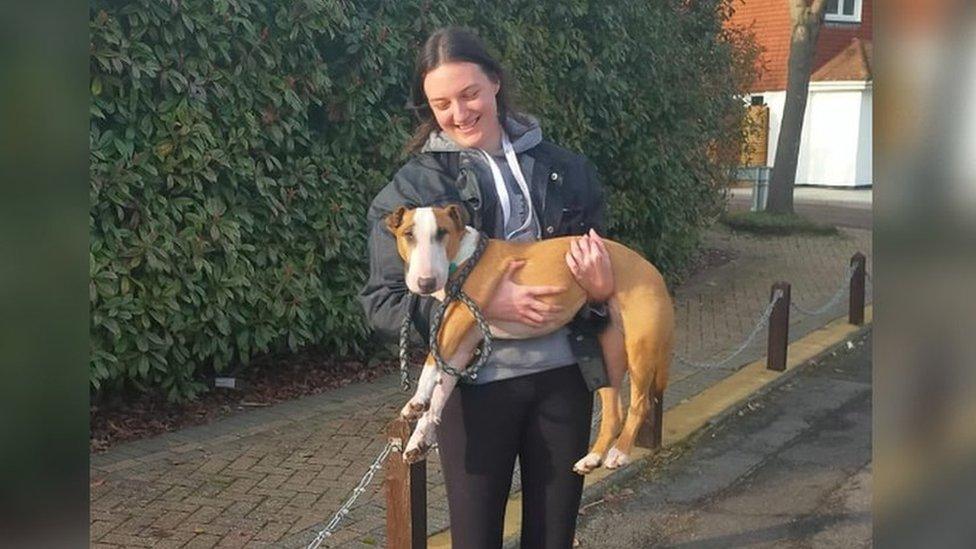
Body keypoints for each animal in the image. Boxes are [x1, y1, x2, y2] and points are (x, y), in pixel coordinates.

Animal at [386, 203, 676, 474]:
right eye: (408, 234)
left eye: (442, 232)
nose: (425, 283)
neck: (462, 257)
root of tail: (654, 271)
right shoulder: (462, 346)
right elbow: (440, 391)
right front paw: (419, 438)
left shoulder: (461, 318)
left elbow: (431, 362)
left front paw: (416, 401)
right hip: (607, 356)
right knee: (614, 412)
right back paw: (592, 458)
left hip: (640, 348)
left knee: (641, 403)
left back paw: (620, 452)